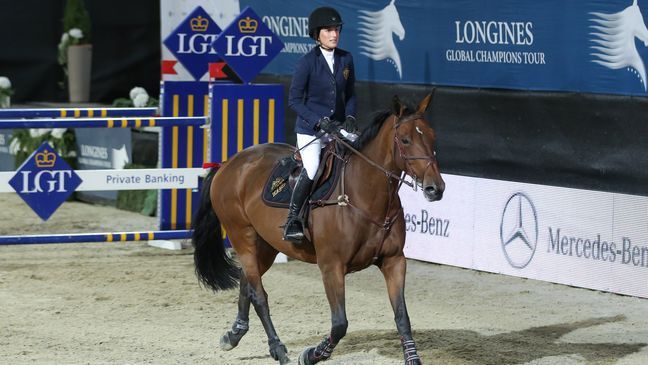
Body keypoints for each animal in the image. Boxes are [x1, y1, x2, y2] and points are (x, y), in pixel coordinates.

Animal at [191, 92, 446, 362]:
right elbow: (340, 323)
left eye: (432, 136)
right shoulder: (331, 266)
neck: (364, 195)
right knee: (259, 295)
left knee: (247, 280)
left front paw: (413, 358)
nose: (435, 188)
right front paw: (313, 354)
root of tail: (229, 163)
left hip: (267, 245)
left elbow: (402, 317)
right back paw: (277, 348)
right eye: (405, 140)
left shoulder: (393, 260)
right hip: (243, 237)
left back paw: (234, 334)